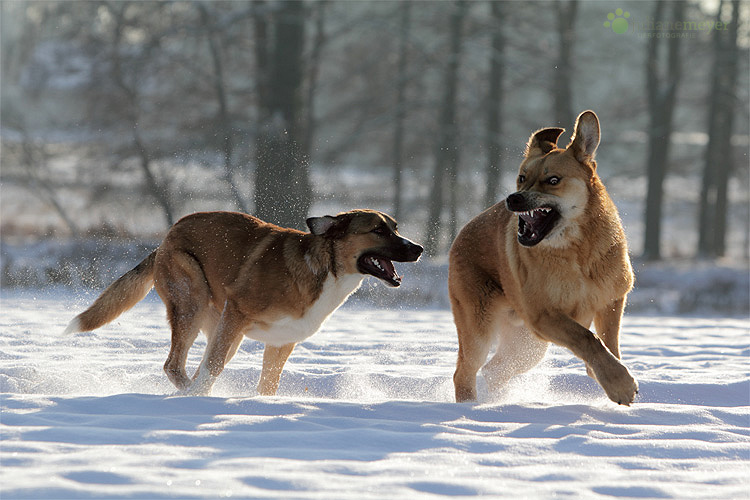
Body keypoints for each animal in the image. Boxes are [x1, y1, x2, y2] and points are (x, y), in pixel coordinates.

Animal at [64, 209, 424, 396]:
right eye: (378, 230)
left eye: (395, 228)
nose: (419, 248)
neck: (325, 269)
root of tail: (167, 237)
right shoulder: (237, 311)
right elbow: (213, 366)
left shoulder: (282, 341)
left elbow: (268, 383)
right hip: (194, 304)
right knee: (176, 365)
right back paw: (186, 395)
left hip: (219, 325)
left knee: (193, 366)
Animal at [452, 110, 640, 406]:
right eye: (521, 177)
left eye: (553, 180)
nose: (513, 199)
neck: (576, 252)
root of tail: (462, 232)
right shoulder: (545, 315)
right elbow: (588, 339)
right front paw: (619, 384)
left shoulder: (610, 299)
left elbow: (607, 343)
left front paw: (609, 373)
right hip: (479, 325)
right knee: (465, 372)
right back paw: (470, 406)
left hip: (527, 345)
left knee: (495, 369)